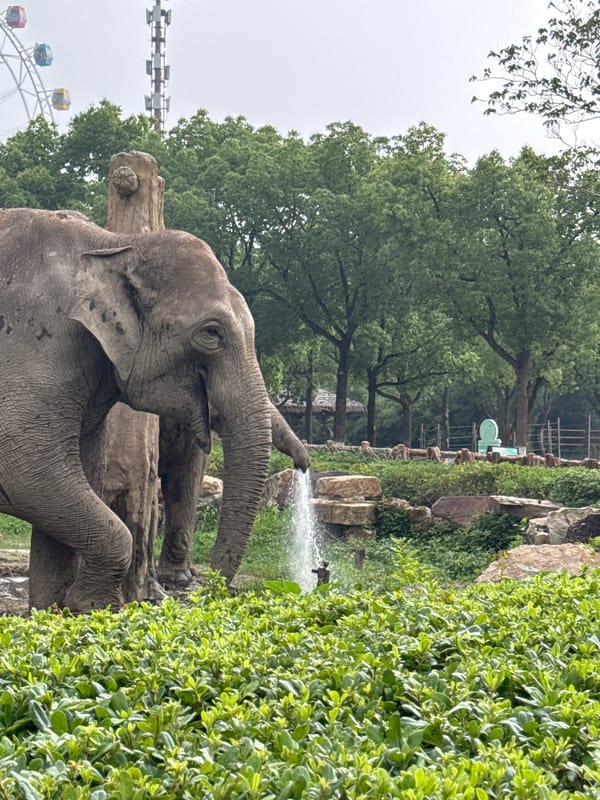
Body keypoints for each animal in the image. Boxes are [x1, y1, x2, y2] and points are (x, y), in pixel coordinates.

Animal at [0, 208, 309, 612]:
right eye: (212, 333)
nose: (303, 465)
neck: (112, 245)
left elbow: (72, 477)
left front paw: (57, 609)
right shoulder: (35, 343)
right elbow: (24, 469)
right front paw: (95, 606)